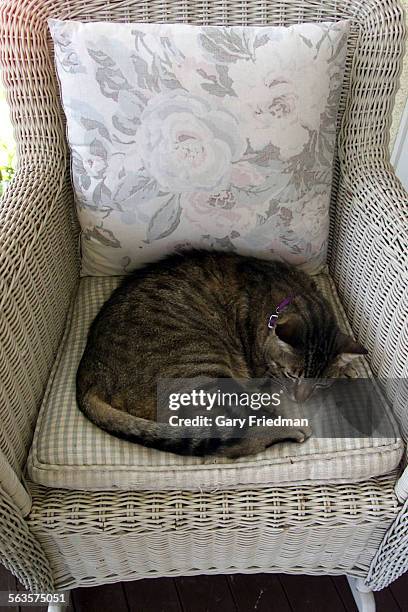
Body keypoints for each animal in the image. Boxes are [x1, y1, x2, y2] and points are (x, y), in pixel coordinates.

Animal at [76, 251, 366, 456]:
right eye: (291, 374)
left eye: (320, 384)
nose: (301, 399)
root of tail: (88, 375)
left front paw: (349, 367)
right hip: (203, 367)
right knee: (234, 440)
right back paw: (290, 428)